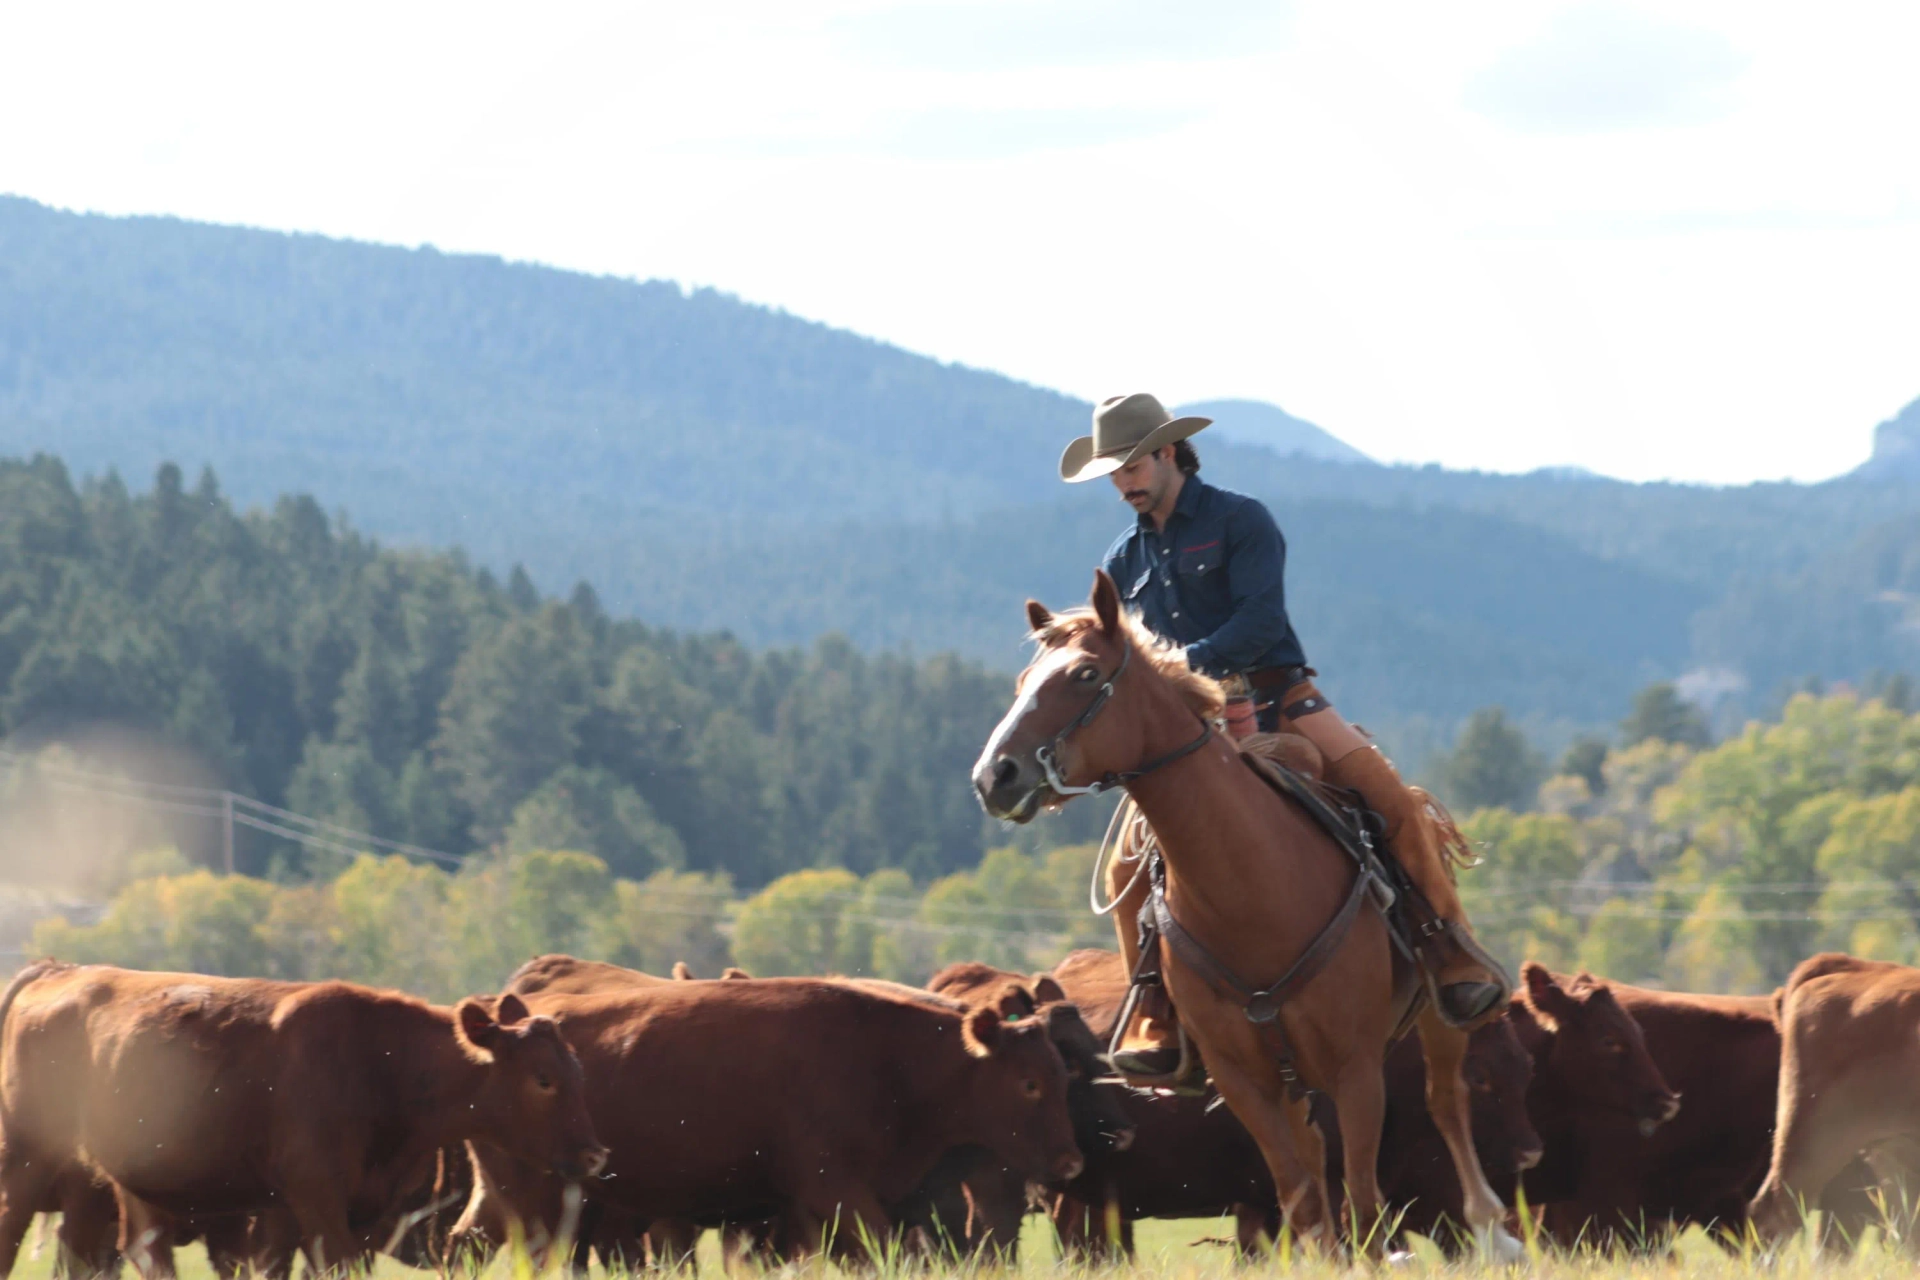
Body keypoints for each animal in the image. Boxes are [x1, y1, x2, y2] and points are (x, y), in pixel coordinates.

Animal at [0, 967, 602, 1274]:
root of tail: (60, 972)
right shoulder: (316, 1197)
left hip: (124, 1180)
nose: (596, 1154)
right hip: (30, 1157)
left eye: (577, 1069)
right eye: (543, 1079)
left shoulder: (343, 1211)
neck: (382, 1064)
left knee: (129, 1250)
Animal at [451, 974, 1082, 1258]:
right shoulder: (835, 1192)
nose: (1071, 1162)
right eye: (1028, 1083)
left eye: (1061, 1076)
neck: (890, 1058)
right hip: (530, 1196)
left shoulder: (805, 1210)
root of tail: (497, 1032)